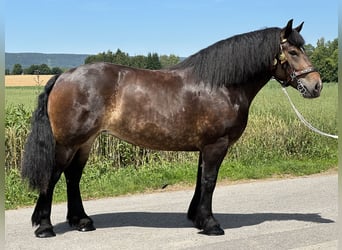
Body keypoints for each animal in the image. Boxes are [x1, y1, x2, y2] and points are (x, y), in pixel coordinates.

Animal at [20, 19, 320, 236]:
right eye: (293, 52)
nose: (316, 85)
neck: (221, 85)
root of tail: (63, 77)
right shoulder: (216, 145)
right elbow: (210, 181)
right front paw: (211, 224)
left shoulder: (205, 146)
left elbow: (201, 180)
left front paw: (197, 219)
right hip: (67, 143)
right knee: (53, 176)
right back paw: (45, 227)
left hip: (84, 143)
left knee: (73, 177)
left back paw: (81, 221)